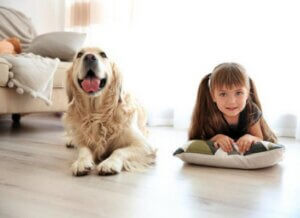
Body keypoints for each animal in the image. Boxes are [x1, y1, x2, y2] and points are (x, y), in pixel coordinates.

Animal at [63, 47, 157, 175]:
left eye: (103, 54)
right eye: (79, 54)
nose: (89, 57)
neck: (98, 113)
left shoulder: (144, 146)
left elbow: (119, 151)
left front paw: (109, 163)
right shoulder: (85, 140)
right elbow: (83, 150)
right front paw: (81, 162)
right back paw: (71, 140)